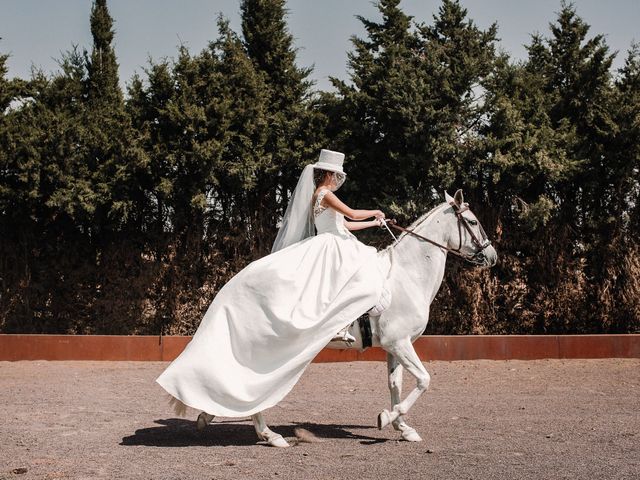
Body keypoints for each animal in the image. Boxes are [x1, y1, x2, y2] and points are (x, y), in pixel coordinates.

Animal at [190, 190, 496, 446]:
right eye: (472, 221)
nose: (492, 256)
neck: (406, 276)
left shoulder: (395, 345)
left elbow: (395, 384)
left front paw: (403, 428)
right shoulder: (400, 343)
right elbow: (423, 380)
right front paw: (387, 418)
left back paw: (214, 418)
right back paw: (269, 435)